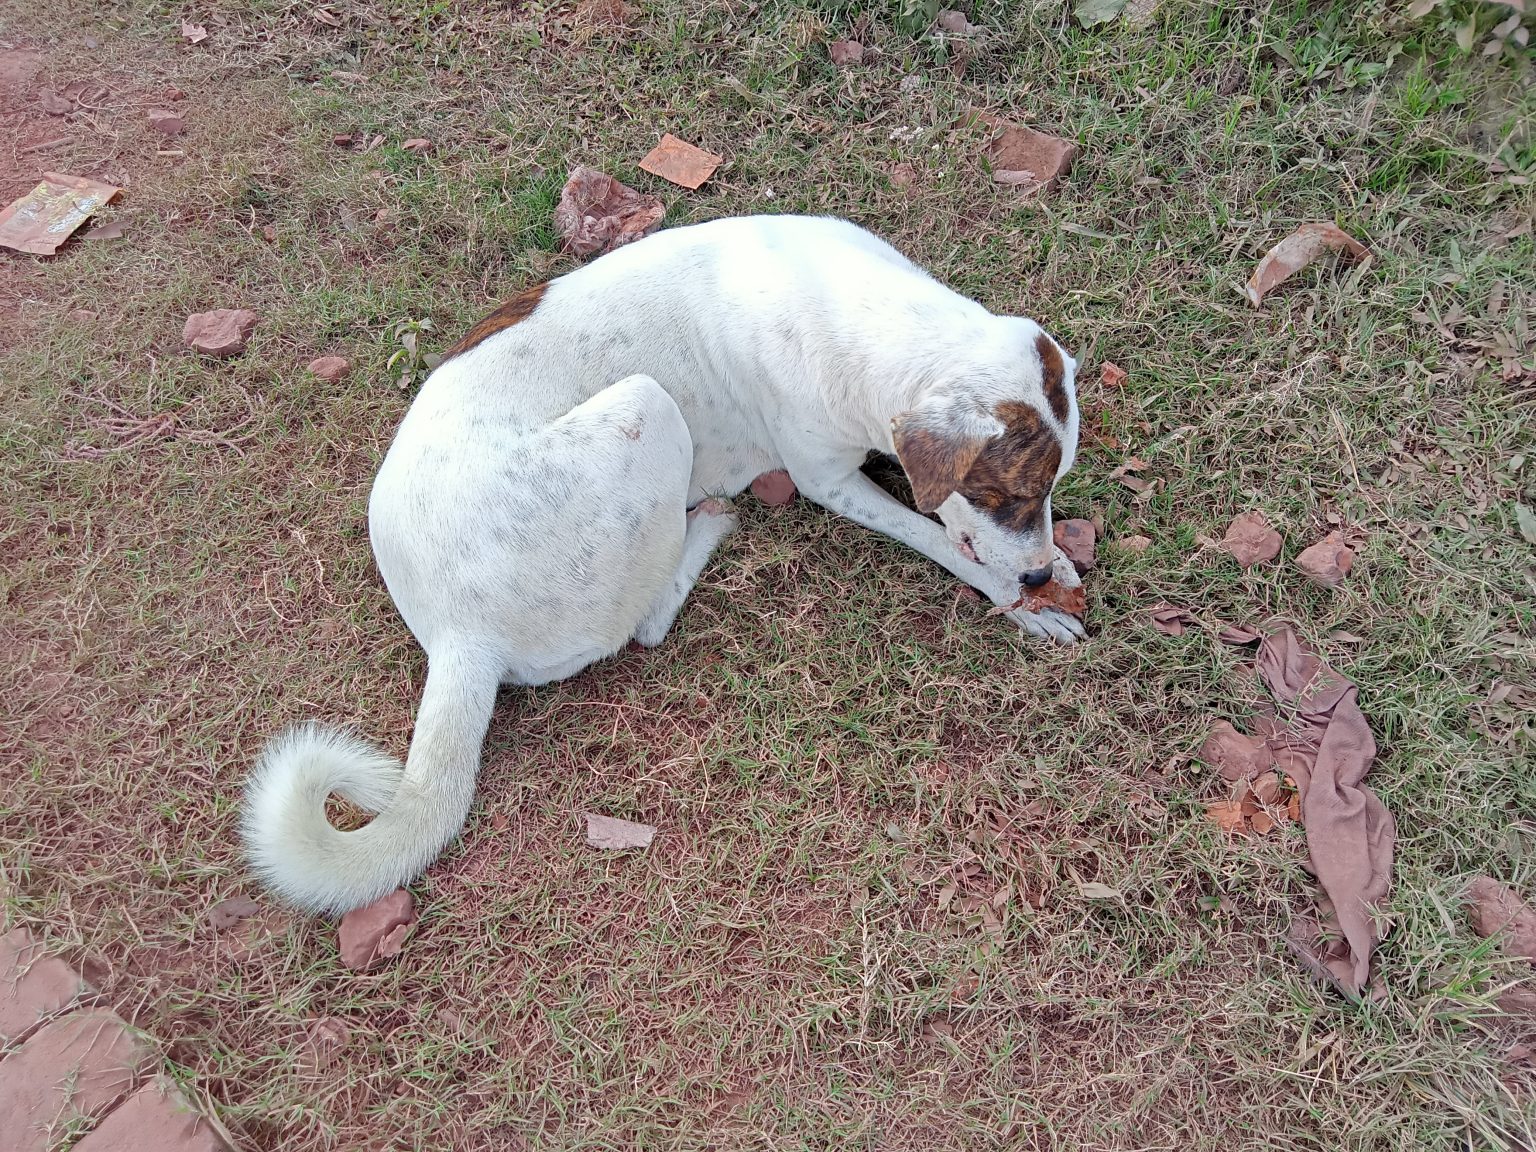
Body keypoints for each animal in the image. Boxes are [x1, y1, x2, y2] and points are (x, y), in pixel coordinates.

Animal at [243, 215, 1083, 914]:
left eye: (1050, 490)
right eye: (1007, 494)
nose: (1039, 578)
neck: (869, 317)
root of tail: (457, 636)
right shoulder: (830, 481)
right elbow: (936, 536)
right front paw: (1019, 597)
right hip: (646, 406)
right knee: (645, 623)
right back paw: (707, 522)